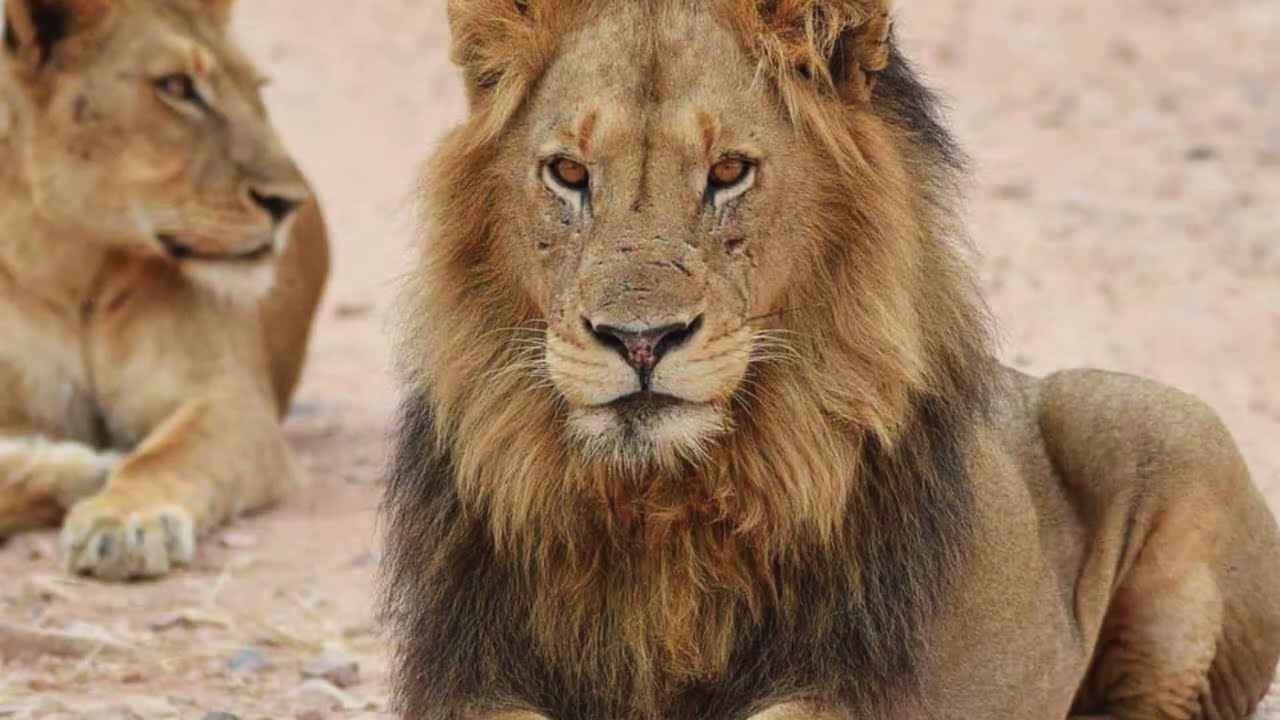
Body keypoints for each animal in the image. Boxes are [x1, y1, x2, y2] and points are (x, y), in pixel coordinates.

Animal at [0, 0, 328, 580]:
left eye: (257, 88)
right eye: (175, 86)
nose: (289, 203)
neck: (72, 266)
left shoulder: (233, 402)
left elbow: (169, 455)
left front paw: (124, 521)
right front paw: (82, 468)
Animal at [382, 0, 1280, 718]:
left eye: (729, 171)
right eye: (568, 173)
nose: (640, 340)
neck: (660, 505)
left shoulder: (854, 678)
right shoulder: (468, 672)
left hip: (1163, 428)